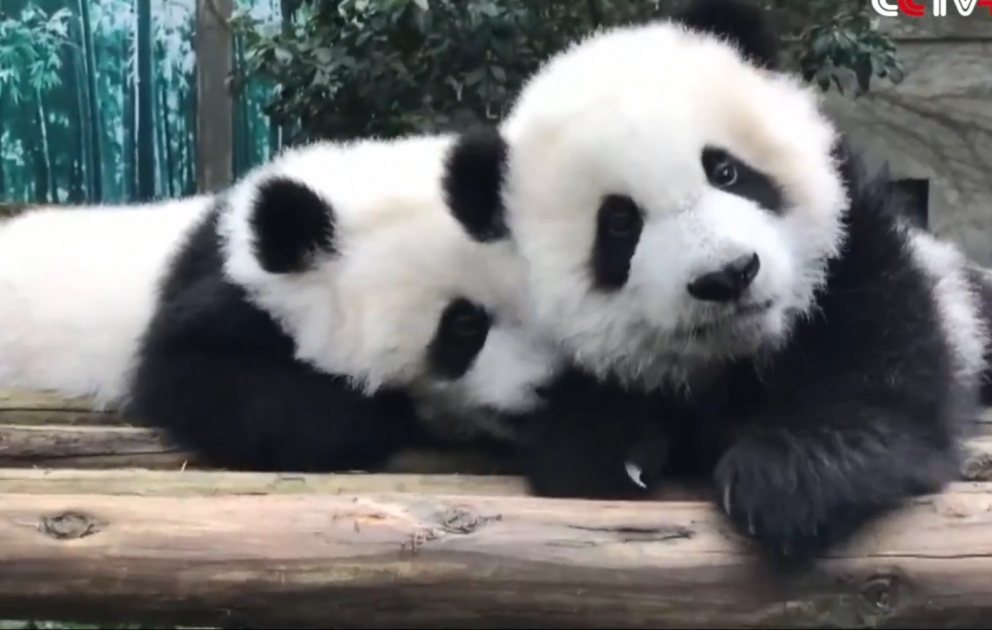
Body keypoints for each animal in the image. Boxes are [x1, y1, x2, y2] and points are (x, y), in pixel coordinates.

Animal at [440, 0, 990, 560]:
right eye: (619, 223)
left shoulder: (856, 246)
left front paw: (788, 477)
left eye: (725, 171)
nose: (728, 276)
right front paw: (616, 452)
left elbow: (883, 367)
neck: (734, 357)